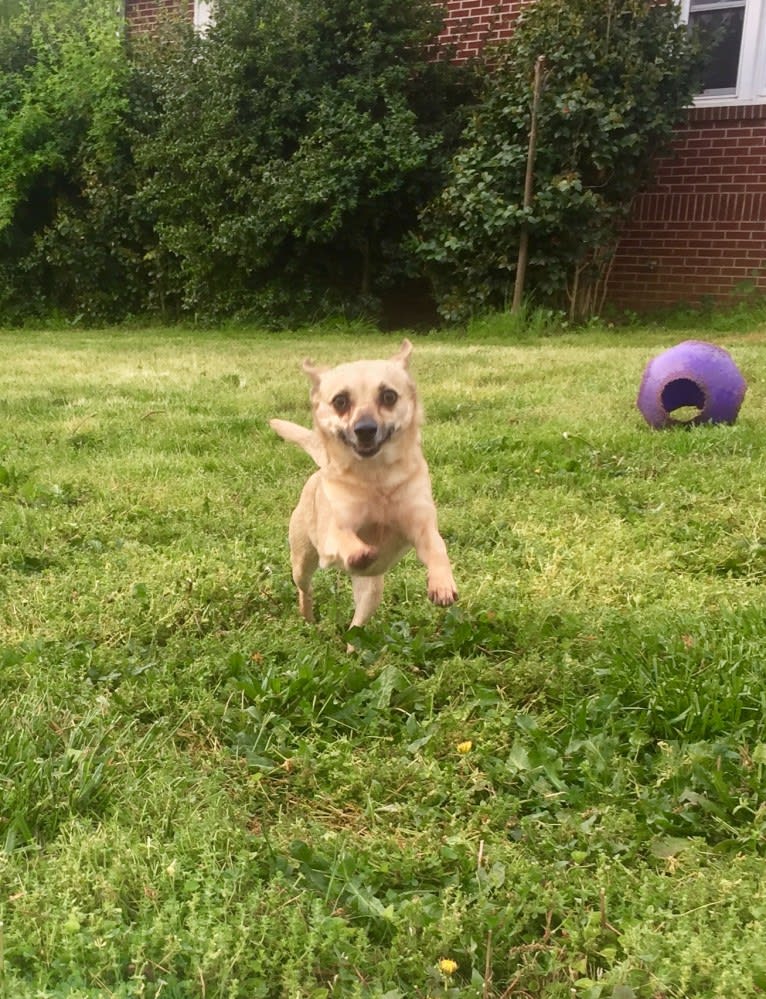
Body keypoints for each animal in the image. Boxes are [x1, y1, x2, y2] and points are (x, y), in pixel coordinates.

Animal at [272, 338, 460, 632]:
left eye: (389, 396)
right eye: (340, 401)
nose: (365, 429)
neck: (376, 479)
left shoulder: (421, 527)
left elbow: (437, 547)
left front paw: (442, 585)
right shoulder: (334, 532)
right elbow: (344, 536)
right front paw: (358, 550)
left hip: (371, 592)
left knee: (356, 626)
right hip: (302, 561)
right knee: (305, 588)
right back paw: (308, 615)